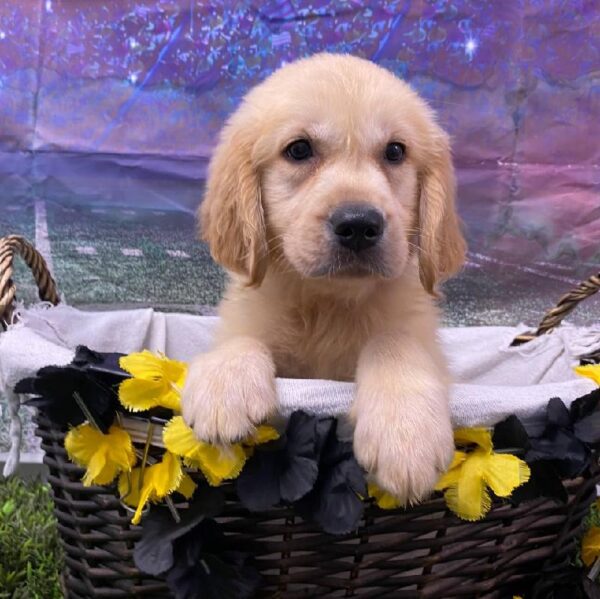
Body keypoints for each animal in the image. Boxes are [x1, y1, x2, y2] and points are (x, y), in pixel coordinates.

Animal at [180, 54, 466, 504]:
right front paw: (225, 386)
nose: (359, 225)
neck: (327, 304)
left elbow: (394, 342)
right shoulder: (248, 313)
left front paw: (405, 433)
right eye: (299, 149)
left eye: (395, 151)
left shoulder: (421, 337)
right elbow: (242, 338)